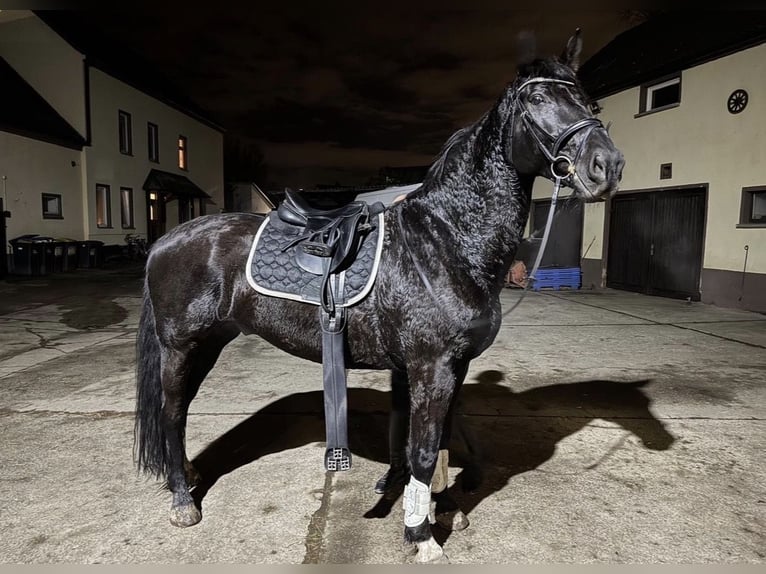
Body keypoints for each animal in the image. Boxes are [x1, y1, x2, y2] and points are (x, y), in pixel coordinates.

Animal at [134, 29, 625, 563]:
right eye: (536, 99)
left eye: (590, 101)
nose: (607, 166)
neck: (446, 241)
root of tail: (166, 239)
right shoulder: (432, 367)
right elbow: (424, 450)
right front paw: (421, 536)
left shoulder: (452, 367)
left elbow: (437, 443)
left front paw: (442, 510)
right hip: (181, 345)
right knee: (171, 413)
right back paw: (183, 501)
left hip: (208, 344)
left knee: (178, 412)